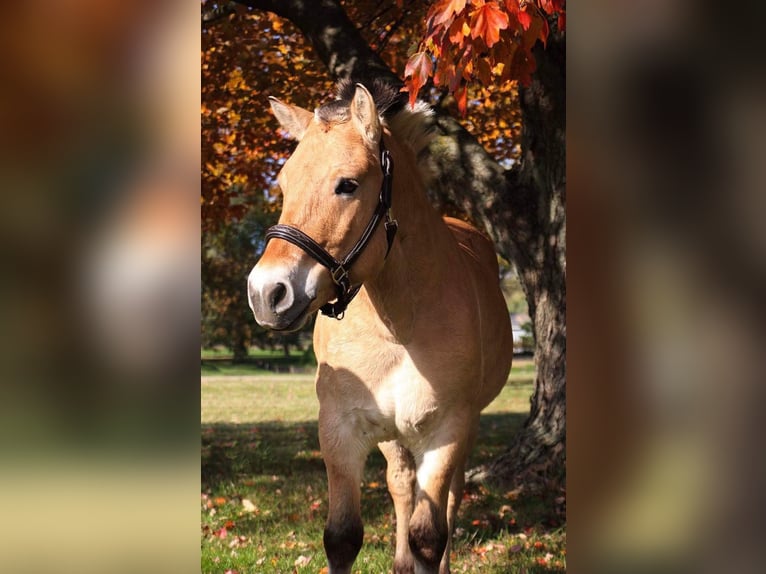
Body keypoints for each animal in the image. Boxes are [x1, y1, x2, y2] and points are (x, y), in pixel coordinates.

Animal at [249, 81, 516, 574]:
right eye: (284, 184)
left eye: (348, 185)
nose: (267, 293)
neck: (398, 326)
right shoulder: (340, 429)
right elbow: (342, 536)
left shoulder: (447, 430)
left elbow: (430, 534)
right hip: (394, 434)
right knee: (401, 483)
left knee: (451, 497)